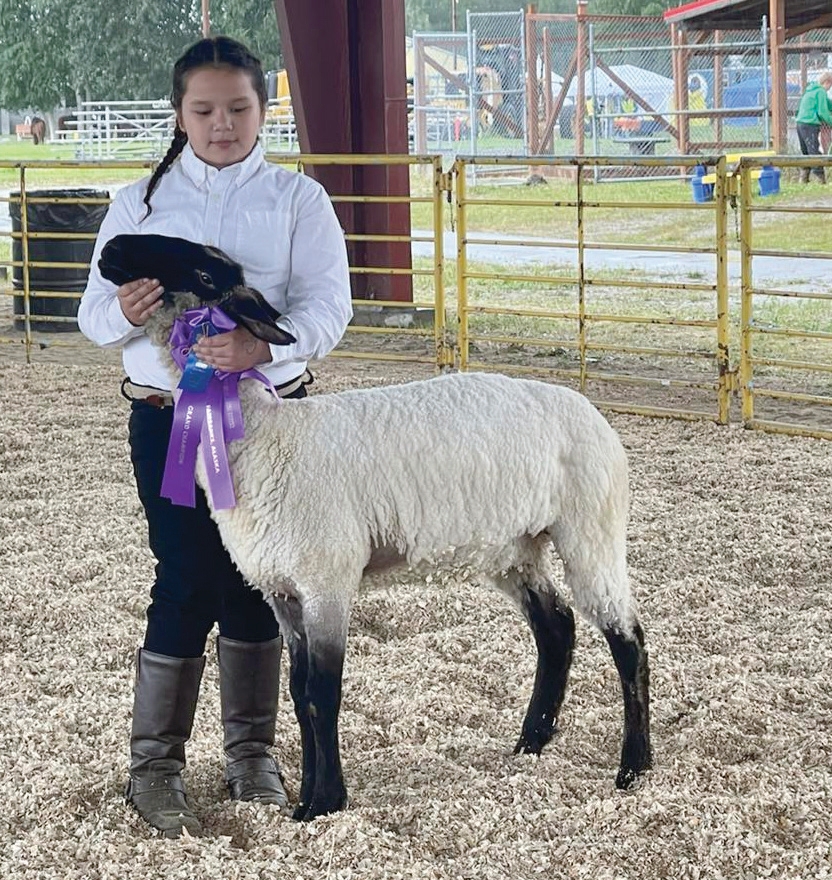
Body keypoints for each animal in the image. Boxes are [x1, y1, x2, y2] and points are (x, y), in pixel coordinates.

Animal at [99, 233, 652, 822]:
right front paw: (309, 796)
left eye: (204, 275)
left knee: (627, 638)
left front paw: (324, 802)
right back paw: (532, 741)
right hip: (513, 546)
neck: (265, 436)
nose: (110, 249)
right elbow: (297, 693)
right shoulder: (282, 590)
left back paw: (633, 768)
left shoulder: (326, 580)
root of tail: (594, 415)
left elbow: (322, 693)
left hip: (590, 528)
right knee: (557, 627)